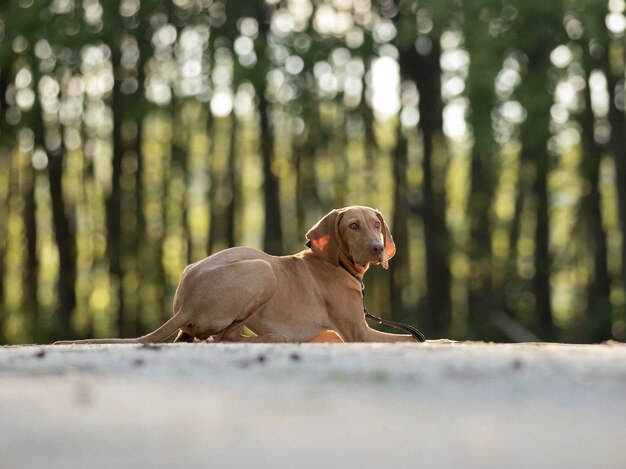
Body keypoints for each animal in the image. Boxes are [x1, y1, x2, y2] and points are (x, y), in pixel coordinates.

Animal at [56, 205, 424, 344]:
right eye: (353, 226)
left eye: (376, 224)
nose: (378, 247)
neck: (337, 262)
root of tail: (185, 303)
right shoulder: (359, 333)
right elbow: (412, 338)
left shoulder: (335, 333)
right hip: (263, 269)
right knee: (224, 338)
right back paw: (272, 339)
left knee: (201, 338)